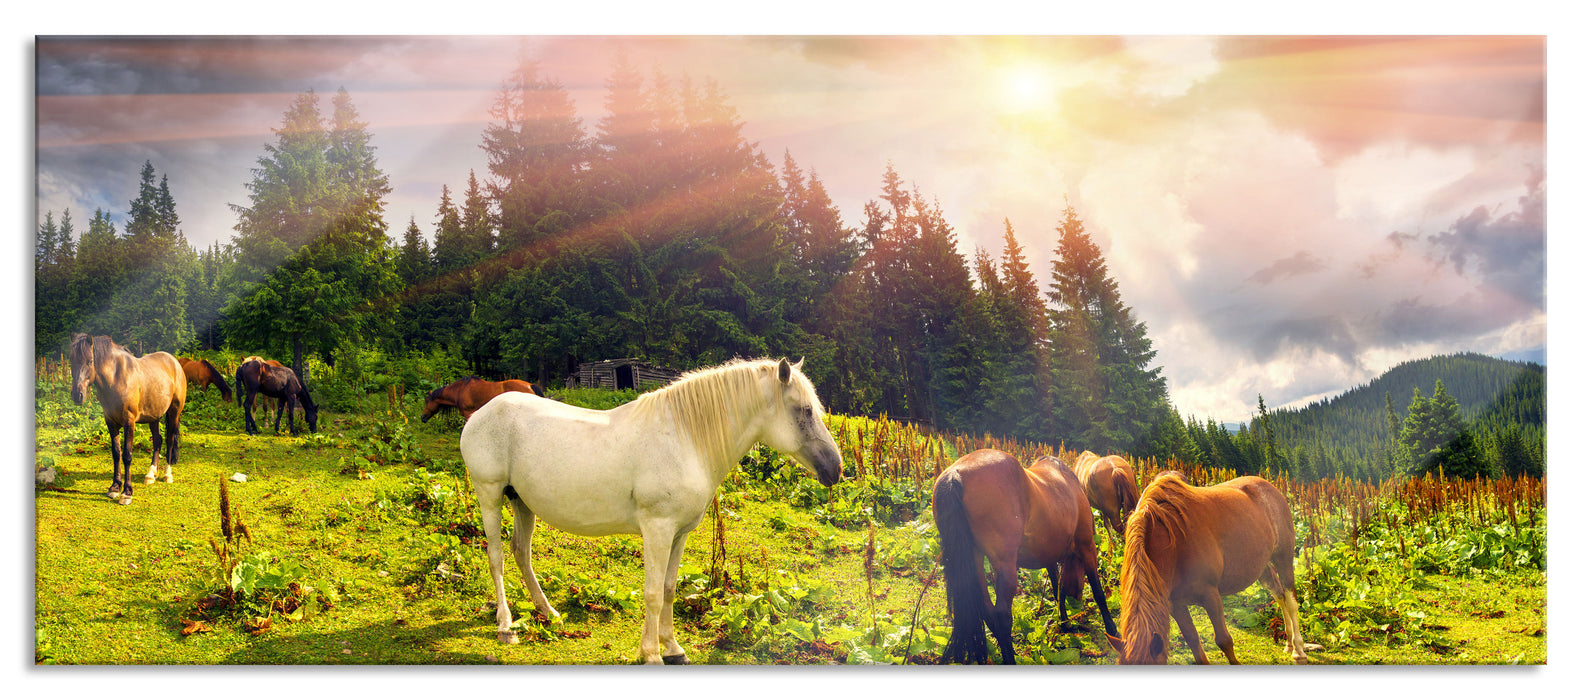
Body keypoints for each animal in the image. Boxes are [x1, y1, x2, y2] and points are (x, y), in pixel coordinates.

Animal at [67, 333, 185, 505]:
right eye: (71, 360)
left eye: (89, 361)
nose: (77, 395)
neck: (117, 379)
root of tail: (174, 362)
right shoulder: (111, 422)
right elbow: (116, 453)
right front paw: (115, 487)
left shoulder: (129, 422)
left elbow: (127, 455)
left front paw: (127, 493)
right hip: (154, 416)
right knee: (158, 440)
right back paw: (151, 474)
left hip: (174, 412)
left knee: (170, 440)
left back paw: (167, 474)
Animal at [459, 358, 843, 664]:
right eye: (805, 411)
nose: (835, 468)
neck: (686, 439)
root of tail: (482, 413)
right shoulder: (657, 529)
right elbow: (654, 594)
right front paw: (652, 654)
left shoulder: (679, 533)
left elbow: (670, 589)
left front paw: (673, 648)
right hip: (489, 493)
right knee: (497, 556)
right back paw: (506, 626)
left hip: (522, 501)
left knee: (521, 552)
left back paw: (549, 612)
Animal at [932, 449, 1118, 664]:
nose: (1077, 597)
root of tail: (955, 474)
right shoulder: (1087, 546)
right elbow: (1098, 592)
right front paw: (1112, 630)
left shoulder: (1049, 556)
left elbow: (1058, 589)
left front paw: (1064, 623)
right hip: (1005, 565)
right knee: (1001, 616)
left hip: (976, 560)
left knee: (988, 612)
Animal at [1108, 472, 1315, 664]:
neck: (1171, 539)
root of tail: (1269, 488)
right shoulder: (1176, 605)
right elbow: (1193, 641)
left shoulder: (1210, 595)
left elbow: (1224, 640)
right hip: (1262, 567)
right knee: (1279, 595)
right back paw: (1288, 643)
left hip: (1283, 557)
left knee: (1290, 600)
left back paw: (1298, 651)